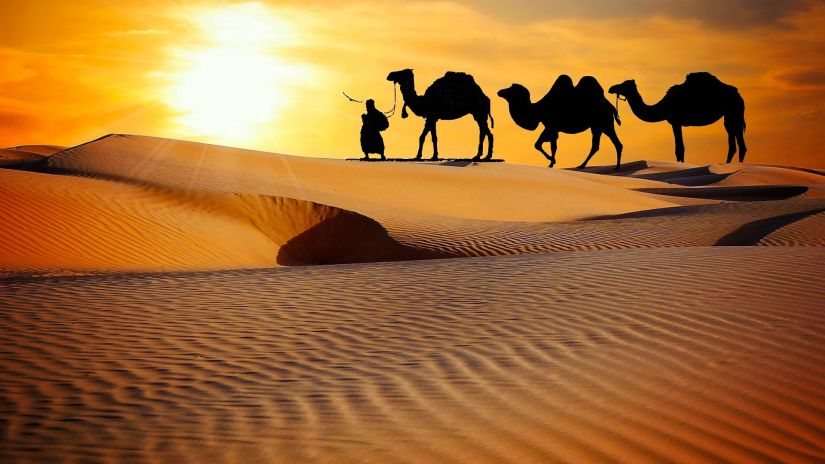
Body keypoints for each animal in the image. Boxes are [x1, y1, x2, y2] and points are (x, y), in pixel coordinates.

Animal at [604, 72, 748, 165]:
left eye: (624, 85)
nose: (611, 88)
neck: (665, 105)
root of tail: (739, 95)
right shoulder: (675, 123)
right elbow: (679, 149)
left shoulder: (675, 122)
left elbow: (679, 149)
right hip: (730, 115)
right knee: (734, 142)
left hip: (734, 111)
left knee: (739, 143)